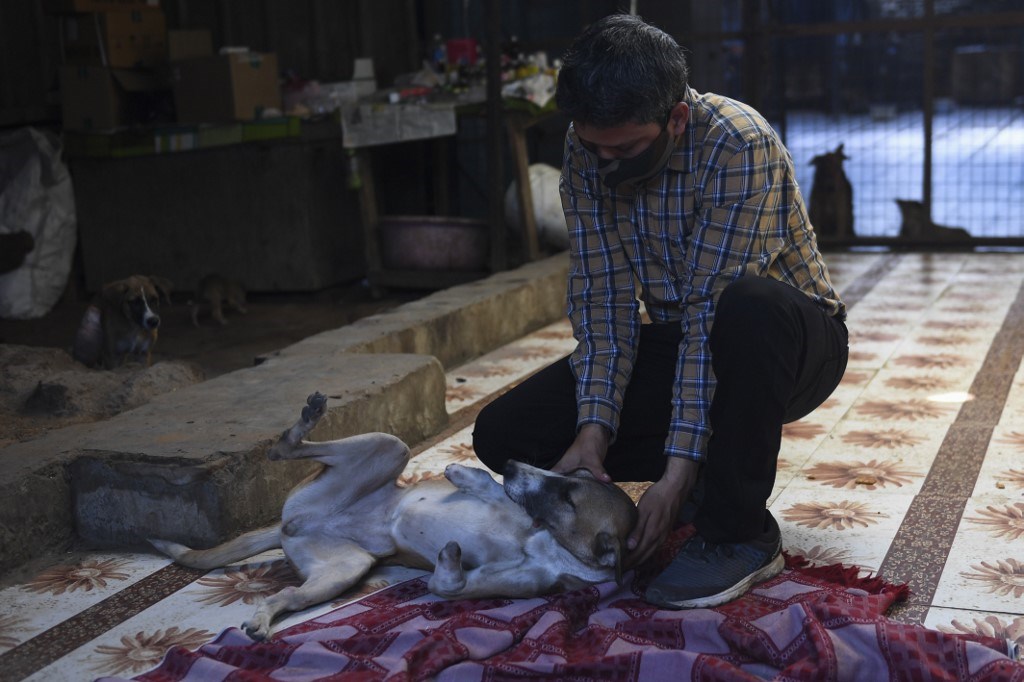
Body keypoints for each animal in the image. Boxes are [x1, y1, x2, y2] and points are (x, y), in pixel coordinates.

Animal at [150, 392, 638, 640]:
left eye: (569, 499)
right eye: (569, 475)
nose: (513, 465)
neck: (544, 540)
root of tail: (293, 523)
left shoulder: (491, 585)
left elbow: (450, 582)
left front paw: (450, 556)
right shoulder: (506, 499)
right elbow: (489, 487)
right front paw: (462, 472)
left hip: (343, 570)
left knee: (283, 594)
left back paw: (260, 622)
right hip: (390, 446)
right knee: (282, 449)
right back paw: (309, 416)